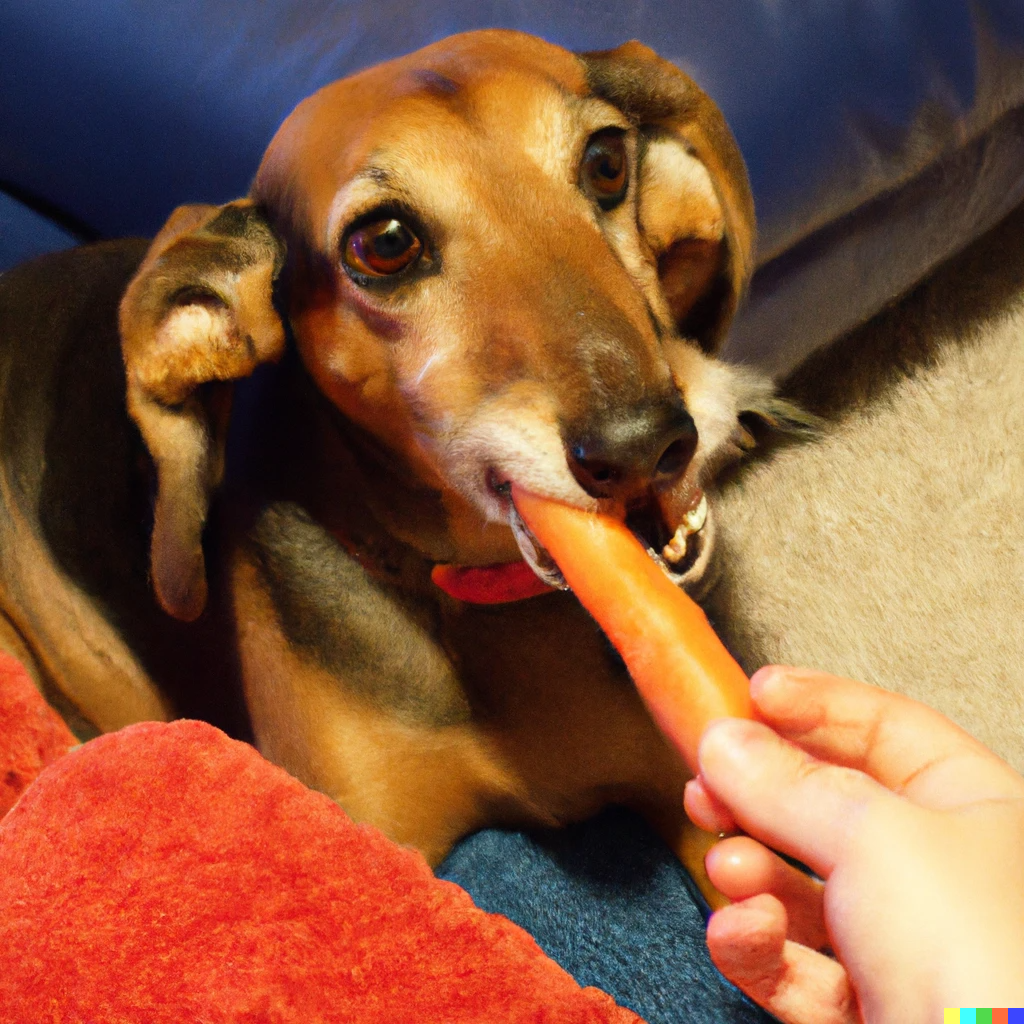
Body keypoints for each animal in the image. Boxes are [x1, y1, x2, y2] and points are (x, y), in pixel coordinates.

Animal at [0, 28, 790, 884]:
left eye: (608, 162)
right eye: (385, 244)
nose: (646, 445)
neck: (476, 598)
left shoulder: (702, 805)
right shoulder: (370, 838)